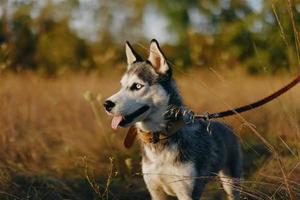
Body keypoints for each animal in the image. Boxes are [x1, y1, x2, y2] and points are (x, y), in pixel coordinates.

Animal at [104, 39, 243, 200]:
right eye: (121, 86)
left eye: (137, 86)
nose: (106, 104)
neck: (160, 137)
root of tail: (226, 125)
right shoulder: (156, 192)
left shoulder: (187, 193)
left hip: (231, 183)